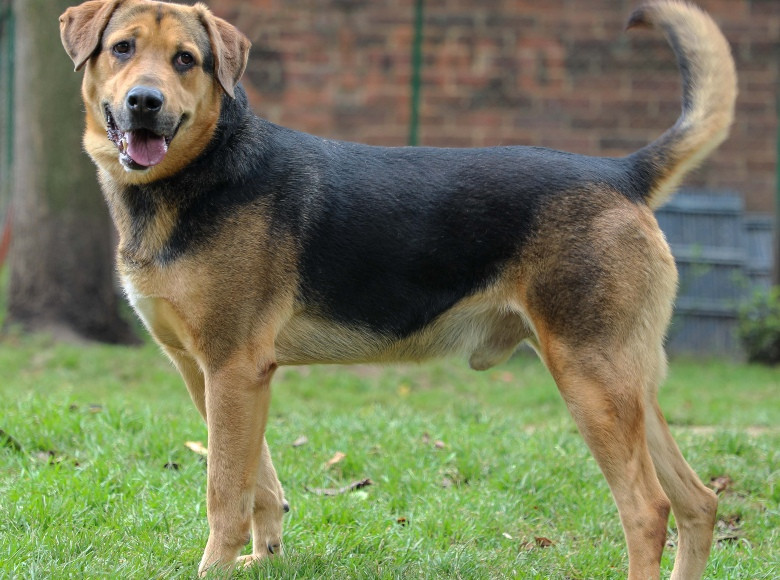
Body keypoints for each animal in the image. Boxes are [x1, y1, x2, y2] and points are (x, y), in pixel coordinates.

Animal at [58, 1, 736, 576]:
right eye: (122, 48)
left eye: (185, 60)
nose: (145, 102)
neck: (204, 169)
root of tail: (621, 174)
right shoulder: (210, 375)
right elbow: (262, 485)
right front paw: (263, 558)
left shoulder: (232, 369)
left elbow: (225, 493)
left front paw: (215, 570)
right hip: (626, 384)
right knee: (699, 502)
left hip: (590, 378)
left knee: (648, 511)